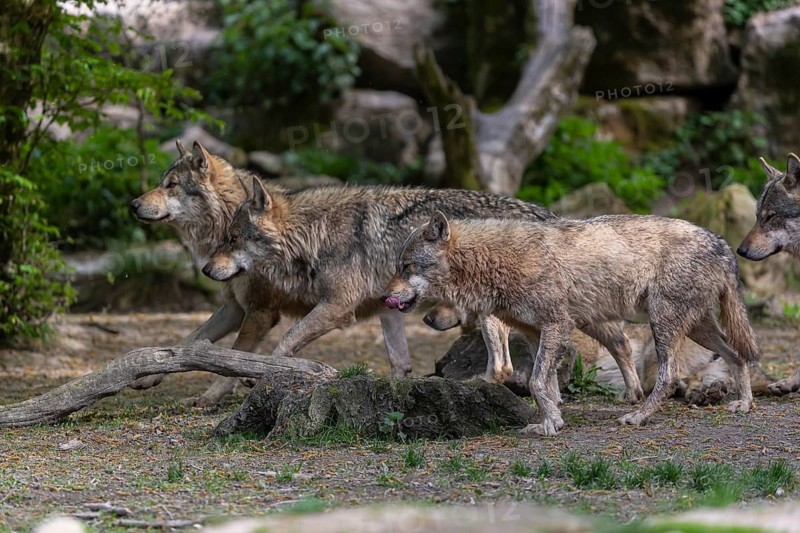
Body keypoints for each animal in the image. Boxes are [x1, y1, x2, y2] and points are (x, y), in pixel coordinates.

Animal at [202, 177, 644, 402]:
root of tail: (550, 216)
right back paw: (627, 394)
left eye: (231, 239)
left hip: (495, 312)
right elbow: (399, 363)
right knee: (616, 342)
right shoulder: (386, 308)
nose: (206, 269)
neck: (315, 233)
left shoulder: (337, 307)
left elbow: (285, 342)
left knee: (505, 366)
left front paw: (258, 376)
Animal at [383, 211, 758, 436]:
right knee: (737, 355)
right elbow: (545, 384)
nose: (385, 296)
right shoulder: (536, 332)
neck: (492, 260)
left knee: (670, 377)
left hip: (663, 325)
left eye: (406, 267)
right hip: (696, 327)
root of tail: (720, 241)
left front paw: (548, 425)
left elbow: (534, 381)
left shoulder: (556, 326)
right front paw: (553, 419)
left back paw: (638, 416)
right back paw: (743, 404)